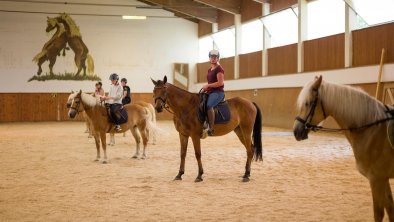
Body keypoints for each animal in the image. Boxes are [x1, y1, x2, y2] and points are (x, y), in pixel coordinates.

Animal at [294, 75, 394, 221]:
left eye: (308, 103)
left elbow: (379, 213)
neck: (372, 130)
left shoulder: (376, 179)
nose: (296, 132)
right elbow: (390, 209)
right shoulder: (383, 178)